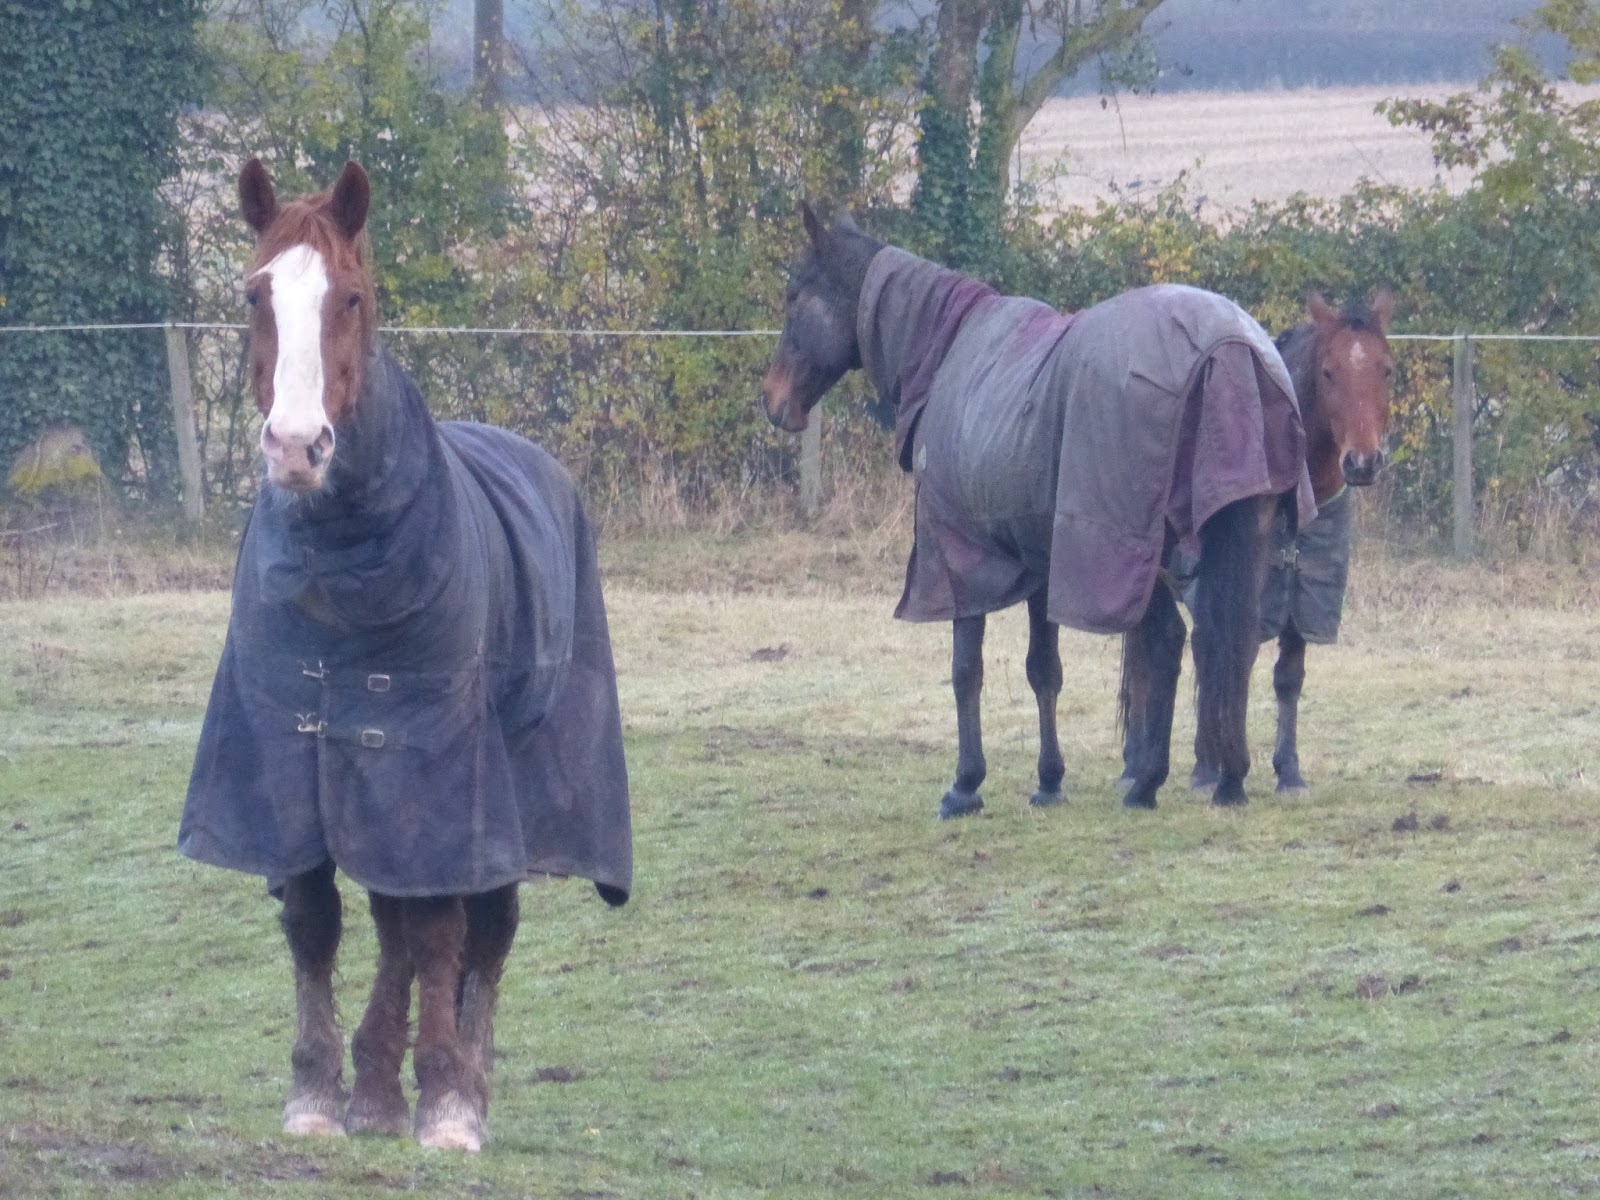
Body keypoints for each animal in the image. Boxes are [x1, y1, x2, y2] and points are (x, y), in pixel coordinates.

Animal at [178, 159, 633, 1151]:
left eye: (349, 297)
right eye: (254, 294)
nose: (296, 447)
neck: (341, 578)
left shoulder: (442, 778)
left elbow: (438, 935)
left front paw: (449, 1104)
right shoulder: (296, 759)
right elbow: (320, 921)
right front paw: (320, 1093)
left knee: (480, 929)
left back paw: (461, 1083)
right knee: (398, 918)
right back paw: (379, 1089)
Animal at [762, 206, 1314, 815]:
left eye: (794, 294)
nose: (773, 402)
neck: (947, 353)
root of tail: (1228, 348)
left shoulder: (958, 555)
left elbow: (966, 670)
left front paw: (965, 785)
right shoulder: (1040, 564)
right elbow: (1043, 671)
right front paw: (1049, 781)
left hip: (1132, 553)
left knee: (1170, 643)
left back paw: (1146, 782)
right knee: (1228, 645)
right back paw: (1228, 780)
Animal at [1185, 290, 1395, 793]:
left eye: (1386, 369)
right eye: (1328, 372)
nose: (1363, 462)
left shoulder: (1306, 590)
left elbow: (1289, 676)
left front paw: (1289, 770)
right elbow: (1232, 658)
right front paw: (1215, 768)